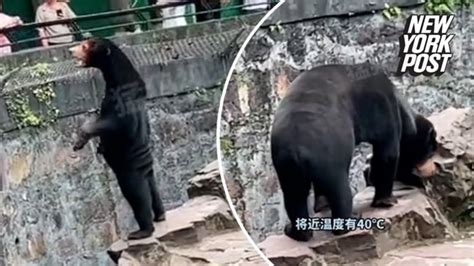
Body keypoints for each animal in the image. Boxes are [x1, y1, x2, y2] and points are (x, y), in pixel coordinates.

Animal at [69, 38, 166, 241]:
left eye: (85, 46)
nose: (70, 50)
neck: (116, 77)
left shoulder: (122, 100)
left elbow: (112, 123)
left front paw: (79, 141)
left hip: (129, 171)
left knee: (137, 195)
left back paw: (142, 231)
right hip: (147, 171)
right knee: (153, 188)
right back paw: (160, 215)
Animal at [270, 62, 436, 241]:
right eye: (429, 149)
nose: (428, 164)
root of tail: (297, 149)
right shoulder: (381, 106)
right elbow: (387, 152)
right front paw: (386, 200)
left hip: (286, 165)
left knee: (294, 195)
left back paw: (296, 232)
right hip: (329, 153)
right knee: (339, 188)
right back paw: (348, 223)